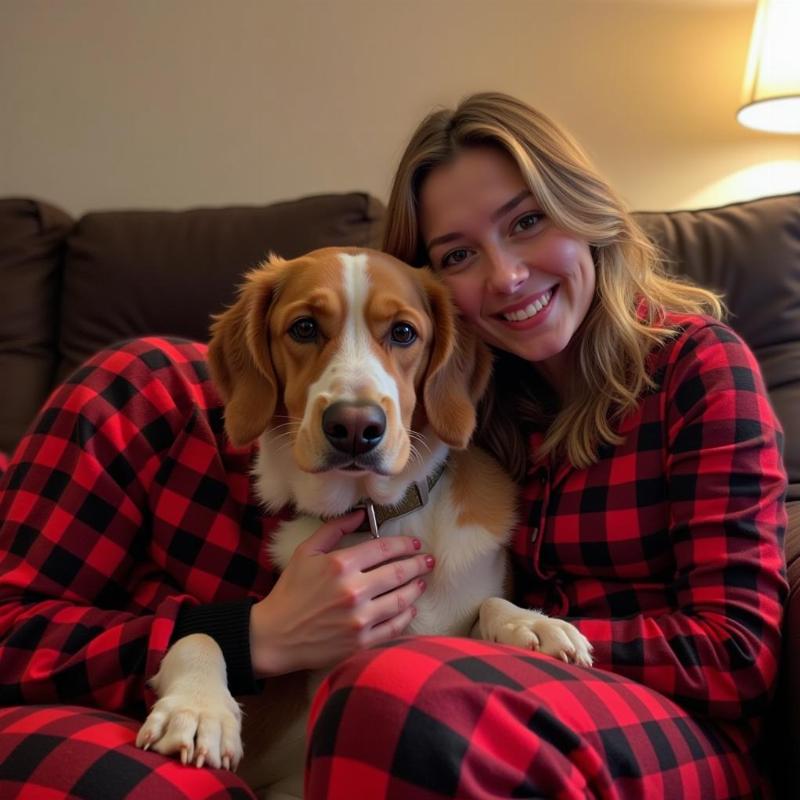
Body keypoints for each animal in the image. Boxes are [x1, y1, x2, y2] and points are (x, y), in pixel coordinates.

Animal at [134, 247, 592, 796]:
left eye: (403, 333)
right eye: (304, 328)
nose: (355, 426)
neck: (374, 515)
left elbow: (488, 604)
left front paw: (531, 623)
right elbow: (200, 635)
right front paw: (198, 710)